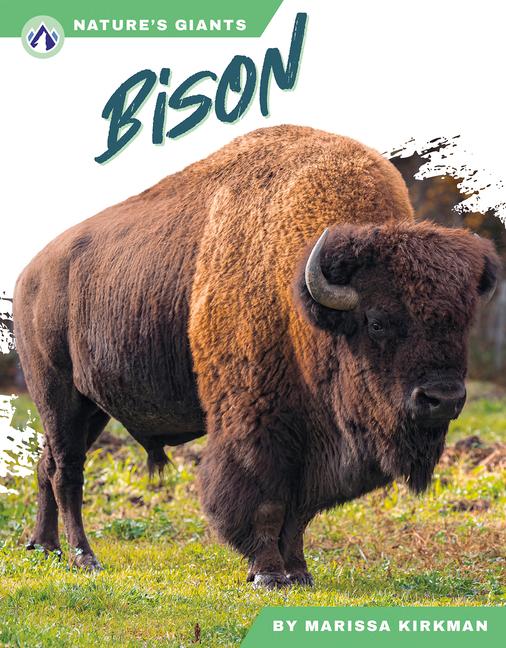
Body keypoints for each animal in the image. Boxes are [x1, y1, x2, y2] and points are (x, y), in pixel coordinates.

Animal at [13, 125, 499, 587]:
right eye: (377, 321)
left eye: (461, 322)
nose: (443, 399)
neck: (299, 298)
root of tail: (28, 275)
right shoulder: (257, 425)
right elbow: (265, 500)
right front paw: (267, 574)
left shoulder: (311, 444)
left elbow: (299, 512)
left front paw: (298, 571)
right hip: (58, 394)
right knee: (67, 472)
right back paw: (84, 557)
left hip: (92, 408)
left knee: (46, 465)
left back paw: (44, 546)